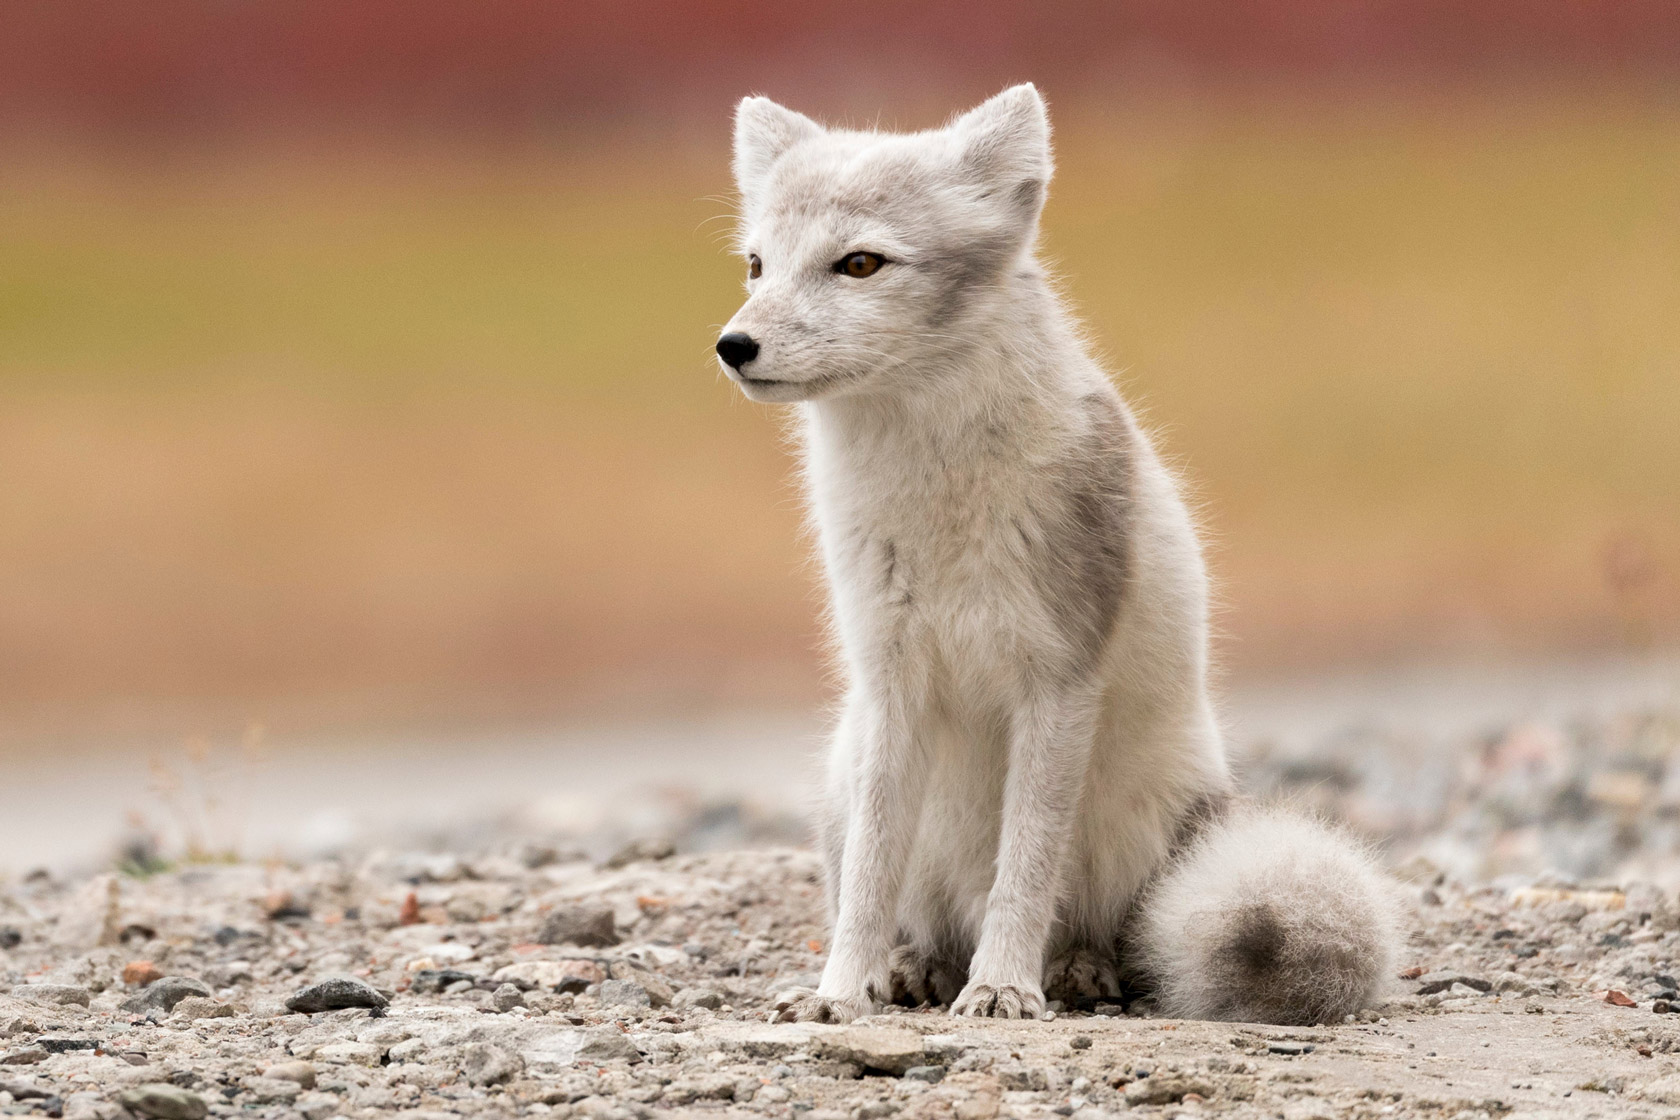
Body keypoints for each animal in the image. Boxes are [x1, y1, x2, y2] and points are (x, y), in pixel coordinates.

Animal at [715, 83, 1397, 1020]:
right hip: (846, 771)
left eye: (858, 264)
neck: (939, 496)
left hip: (1147, 817)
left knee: (1103, 929)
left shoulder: (1058, 681)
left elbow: (1028, 868)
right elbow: (867, 882)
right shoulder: (892, 684)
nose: (731, 346)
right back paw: (913, 966)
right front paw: (841, 992)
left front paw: (1004, 985)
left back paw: (1073, 969)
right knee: (907, 908)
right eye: (756, 265)